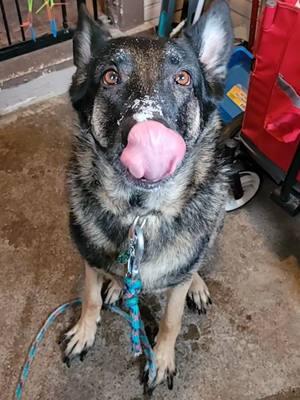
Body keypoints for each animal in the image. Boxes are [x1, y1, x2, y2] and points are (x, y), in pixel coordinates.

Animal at [62, 0, 232, 392]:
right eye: (110, 77)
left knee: (196, 261)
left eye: (183, 78)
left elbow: (172, 319)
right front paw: (85, 329)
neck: (139, 214)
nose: (150, 135)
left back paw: (195, 283)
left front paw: (162, 359)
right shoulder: (86, 253)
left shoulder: (175, 289)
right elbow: (89, 296)